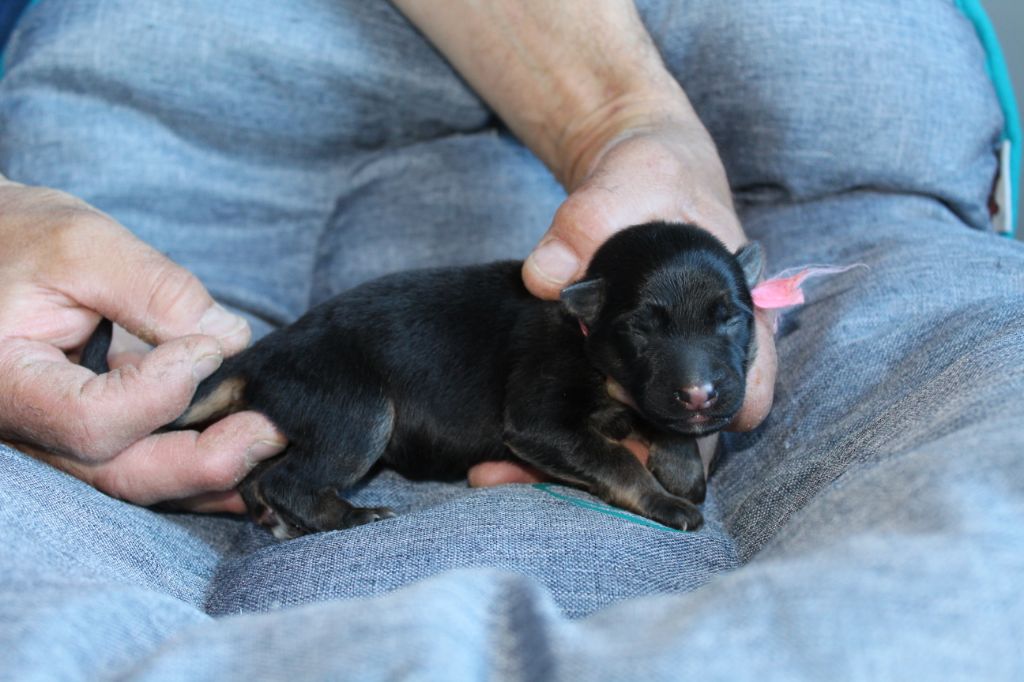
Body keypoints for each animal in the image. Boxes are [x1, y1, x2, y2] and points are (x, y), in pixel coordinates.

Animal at [83, 222, 763, 537]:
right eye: (642, 331)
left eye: (732, 318)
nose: (700, 393)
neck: (584, 332)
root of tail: (266, 349)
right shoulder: (540, 418)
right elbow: (613, 458)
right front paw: (665, 499)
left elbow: (662, 422)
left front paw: (679, 460)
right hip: (356, 411)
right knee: (287, 479)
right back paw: (349, 517)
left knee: (259, 482)